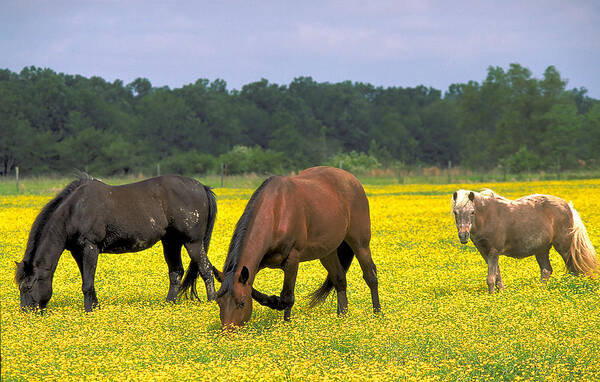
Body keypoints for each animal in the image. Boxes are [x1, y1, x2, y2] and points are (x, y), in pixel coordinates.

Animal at [14, 175, 218, 312]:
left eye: (28, 287)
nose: (26, 313)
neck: (74, 210)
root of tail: (202, 187)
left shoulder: (90, 247)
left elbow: (87, 283)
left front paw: (89, 310)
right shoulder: (77, 252)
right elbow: (88, 280)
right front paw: (95, 306)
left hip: (193, 242)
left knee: (206, 270)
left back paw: (212, 302)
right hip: (171, 242)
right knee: (176, 273)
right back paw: (169, 304)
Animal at [211, 166, 380, 326]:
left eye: (241, 303)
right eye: (219, 302)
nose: (228, 332)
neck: (276, 212)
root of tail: (352, 180)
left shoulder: (292, 259)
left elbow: (287, 297)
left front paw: (286, 321)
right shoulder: (257, 264)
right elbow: (254, 289)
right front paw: (272, 301)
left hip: (360, 243)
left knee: (370, 277)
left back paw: (377, 313)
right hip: (327, 252)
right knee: (339, 280)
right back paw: (343, 316)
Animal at [452, 189, 596, 292]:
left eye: (472, 212)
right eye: (455, 212)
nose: (463, 235)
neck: (487, 217)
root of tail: (568, 207)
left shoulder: (493, 251)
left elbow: (491, 278)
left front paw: (492, 295)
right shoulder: (485, 253)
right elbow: (497, 275)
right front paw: (500, 293)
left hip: (564, 247)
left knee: (572, 267)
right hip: (542, 250)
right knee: (546, 270)